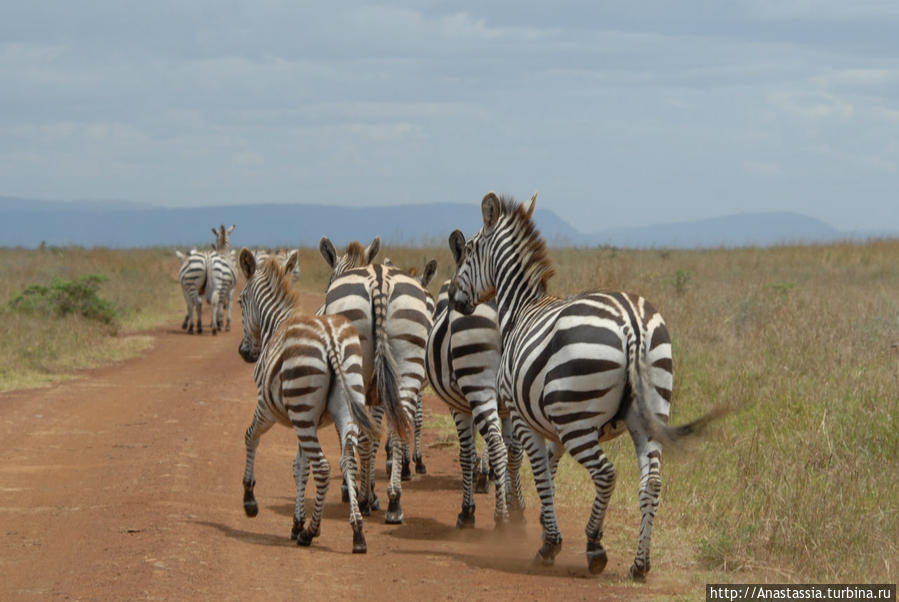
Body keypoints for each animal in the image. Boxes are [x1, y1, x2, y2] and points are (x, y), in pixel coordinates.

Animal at [236, 246, 376, 552]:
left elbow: (251, 437)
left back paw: (311, 532)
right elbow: (300, 467)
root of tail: (332, 342)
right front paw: (297, 521)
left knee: (323, 466)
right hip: (342, 408)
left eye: (239, 301)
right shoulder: (306, 422)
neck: (275, 325)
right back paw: (358, 532)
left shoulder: (267, 408)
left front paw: (250, 500)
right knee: (347, 461)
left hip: (301, 411)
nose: (244, 353)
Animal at [322, 260, 434, 524]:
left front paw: (365, 493)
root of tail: (379, 278)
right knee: (398, 429)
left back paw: (368, 499)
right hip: (407, 364)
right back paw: (394, 502)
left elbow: (365, 439)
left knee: (365, 435)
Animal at [450, 191, 716, 576]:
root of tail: (631, 322)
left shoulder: (524, 418)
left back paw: (594, 546)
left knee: (606, 474)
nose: (455, 300)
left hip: (577, 419)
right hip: (649, 412)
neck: (519, 309)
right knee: (651, 482)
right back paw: (640, 564)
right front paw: (544, 528)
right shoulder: (554, 429)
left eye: (468, 249)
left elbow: (541, 476)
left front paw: (549, 544)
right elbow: (550, 474)